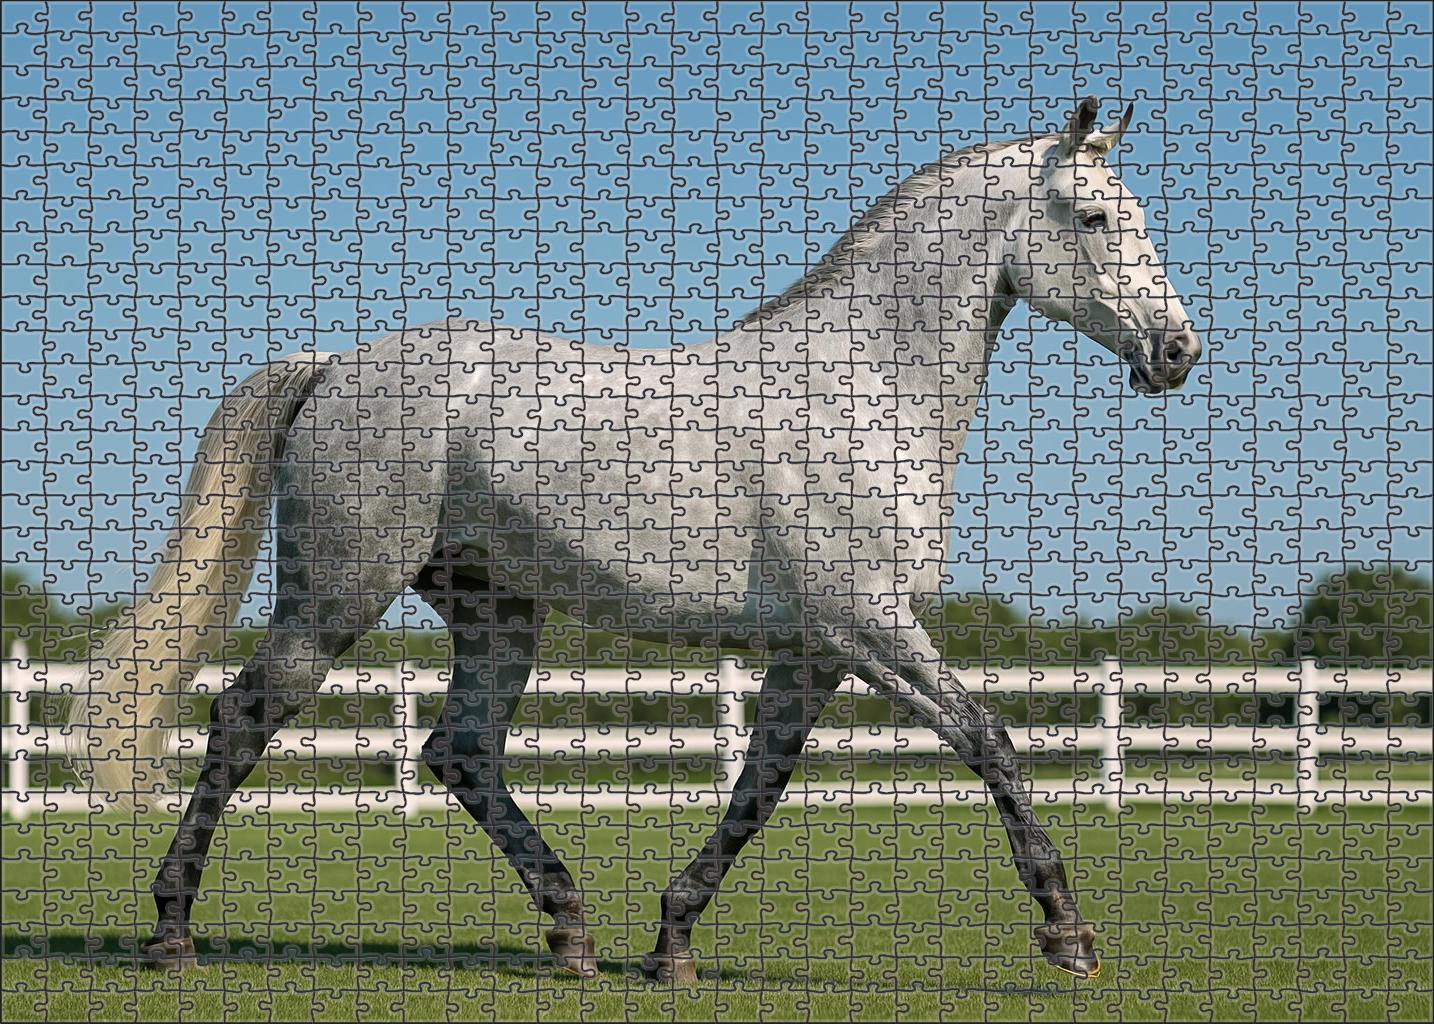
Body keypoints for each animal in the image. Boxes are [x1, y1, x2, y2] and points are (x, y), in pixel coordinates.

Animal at [69, 97, 1200, 983]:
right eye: (1095, 216)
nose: (1178, 350)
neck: (865, 390)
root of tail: (336, 367)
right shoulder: (870, 627)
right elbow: (989, 742)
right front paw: (1068, 936)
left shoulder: (816, 652)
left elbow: (759, 787)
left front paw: (672, 941)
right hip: (336, 599)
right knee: (241, 719)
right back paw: (171, 931)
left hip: (497, 613)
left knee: (458, 751)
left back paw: (573, 931)